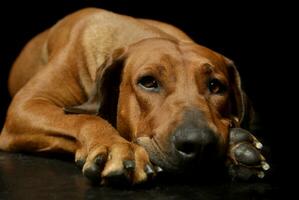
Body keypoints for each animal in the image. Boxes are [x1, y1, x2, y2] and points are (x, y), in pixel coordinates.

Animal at [0, 8, 268, 184]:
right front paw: (115, 147)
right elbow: (84, 118)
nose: (199, 143)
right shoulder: (26, 106)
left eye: (216, 86)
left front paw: (236, 146)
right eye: (148, 82)